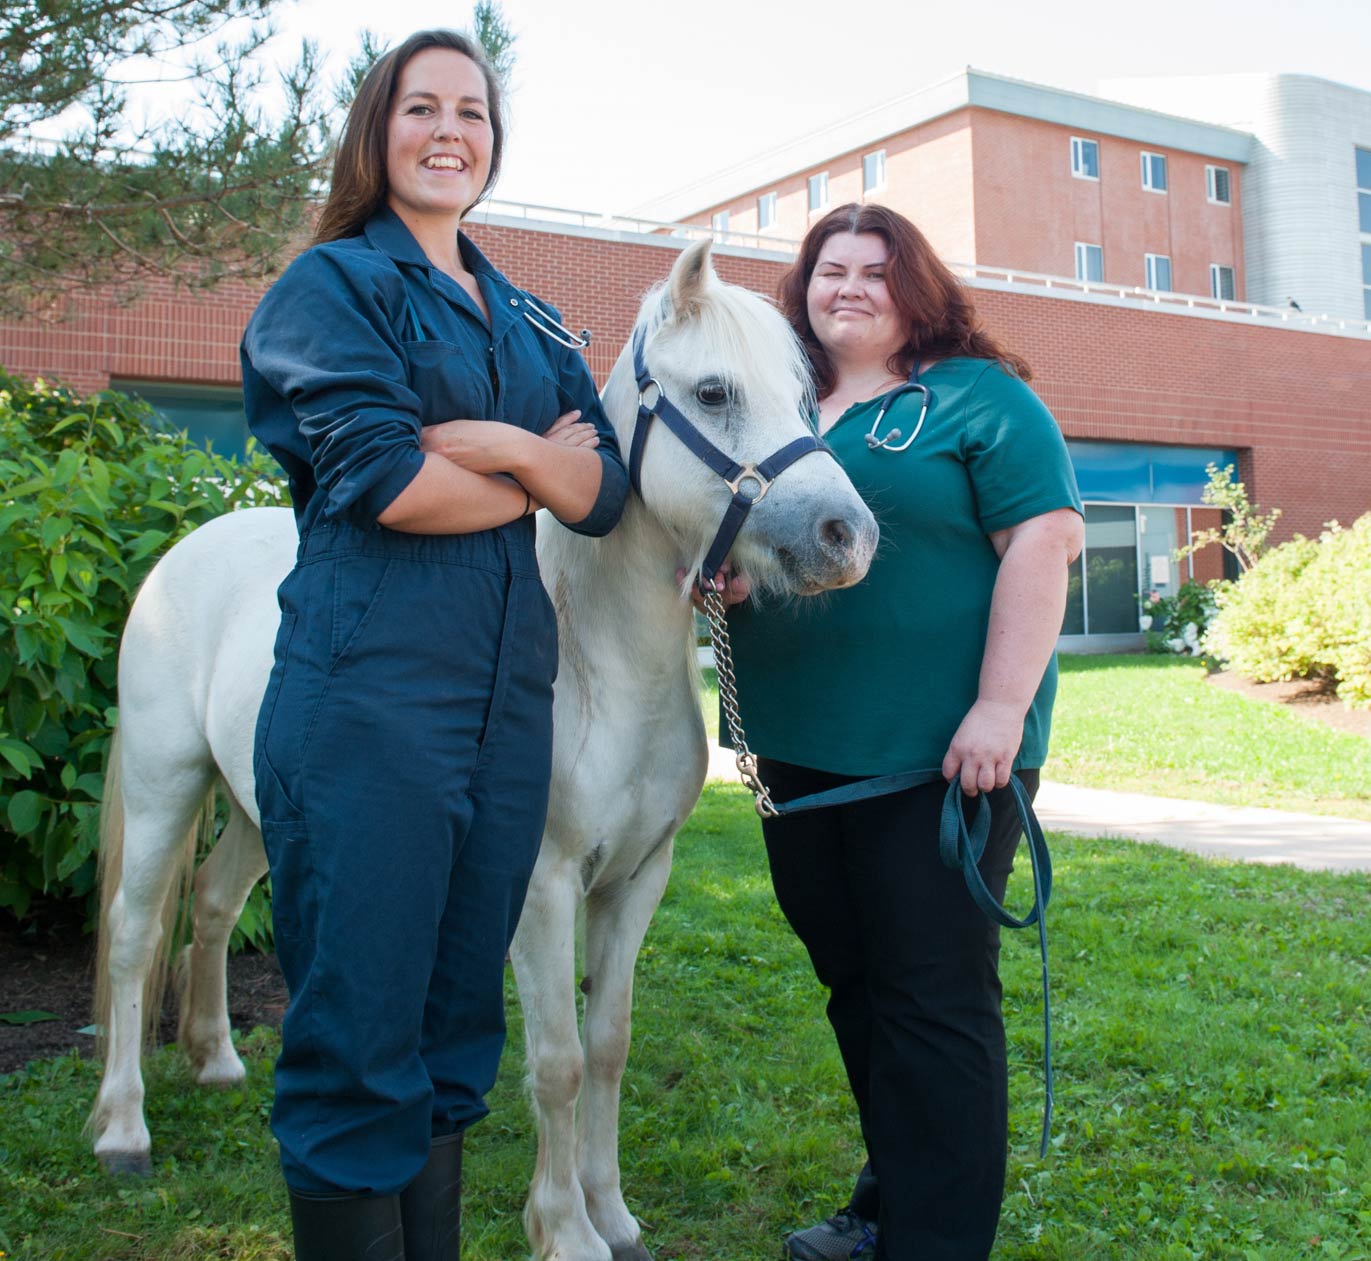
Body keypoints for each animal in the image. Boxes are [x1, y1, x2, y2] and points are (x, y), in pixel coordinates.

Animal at [88, 238, 877, 1261]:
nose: (846, 534)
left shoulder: (639, 878)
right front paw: (566, 1230)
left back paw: (217, 1060)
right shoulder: (538, 885)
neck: (598, 665)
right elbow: (557, 1060)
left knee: (216, 906)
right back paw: (123, 1129)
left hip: (262, 812)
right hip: (164, 786)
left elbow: (610, 1043)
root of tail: (187, 548)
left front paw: (613, 1213)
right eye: (712, 392)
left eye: (804, 396)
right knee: (135, 934)